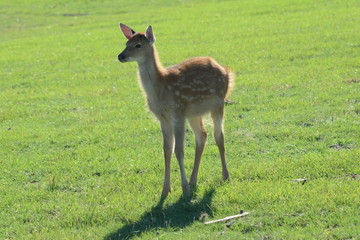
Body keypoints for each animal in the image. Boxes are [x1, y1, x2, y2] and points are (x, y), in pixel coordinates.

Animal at [118, 23, 235, 198]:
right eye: (126, 43)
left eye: (137, 45)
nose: (120, 56)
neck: (160, 88)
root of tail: (226, 71)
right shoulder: (163, 118)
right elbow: (167, 149)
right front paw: (165, 189)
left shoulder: (178, 112)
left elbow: (179, 150)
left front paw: (184, 189)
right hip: (194, 113)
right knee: (202, 136)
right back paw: (194, 180)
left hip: (217, 104)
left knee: (219, 136)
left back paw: (225, 176)